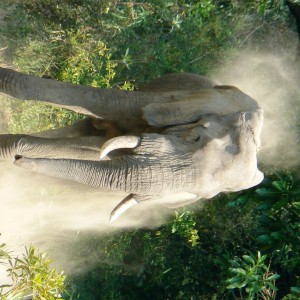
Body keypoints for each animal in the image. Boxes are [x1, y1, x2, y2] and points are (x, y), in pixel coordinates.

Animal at [0, 68, 262, 223]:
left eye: (202, 196)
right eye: (195, 137)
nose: (20, 160)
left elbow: (93, 150)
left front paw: (13, 153)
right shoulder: (178, 100)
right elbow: (104, 107)